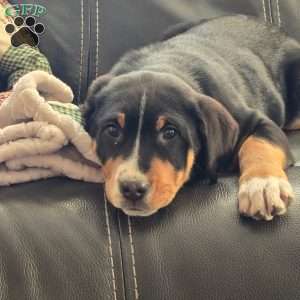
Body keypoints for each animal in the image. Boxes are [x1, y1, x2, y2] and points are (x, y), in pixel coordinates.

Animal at [82, 15, 300, 219]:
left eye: (170, 133)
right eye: (112, 130)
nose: (133, 189)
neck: (162, 64)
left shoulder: (257, 121)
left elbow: (259, 144)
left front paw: (263, 185)